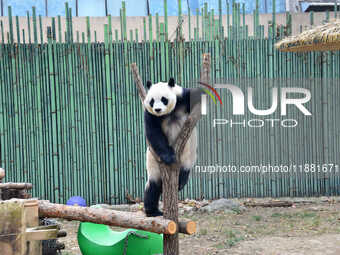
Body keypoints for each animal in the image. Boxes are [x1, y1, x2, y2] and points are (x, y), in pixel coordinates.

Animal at [143, 77, 203, 217]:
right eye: (152, 101)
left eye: (163, 99)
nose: (158, 109)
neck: (168, 113)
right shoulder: (149, 114)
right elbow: (154, 133)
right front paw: (169, 157)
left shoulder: (183, 98)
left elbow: (197, 95)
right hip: (153, 161)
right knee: (153, 186)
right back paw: (152, 211)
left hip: (188, 155)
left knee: (185, 169)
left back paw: (181, 182)